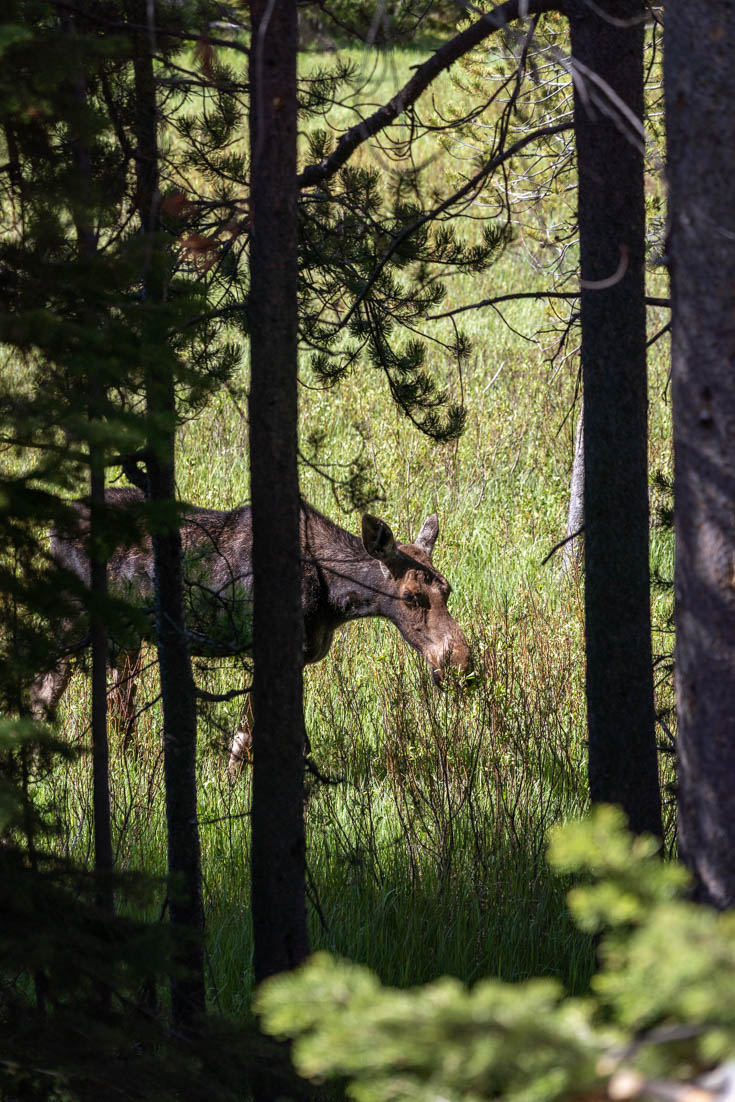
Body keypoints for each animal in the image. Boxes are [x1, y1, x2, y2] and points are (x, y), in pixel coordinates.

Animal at [32, 488, 472, 772]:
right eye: (412, 596)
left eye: (448, 589)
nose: (461, 665)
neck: (335, 600)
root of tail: (51, 529)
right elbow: (246, 735)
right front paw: (230, 783)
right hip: (76, 619)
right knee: (46, 688)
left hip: (124, 634)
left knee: (116, 705)